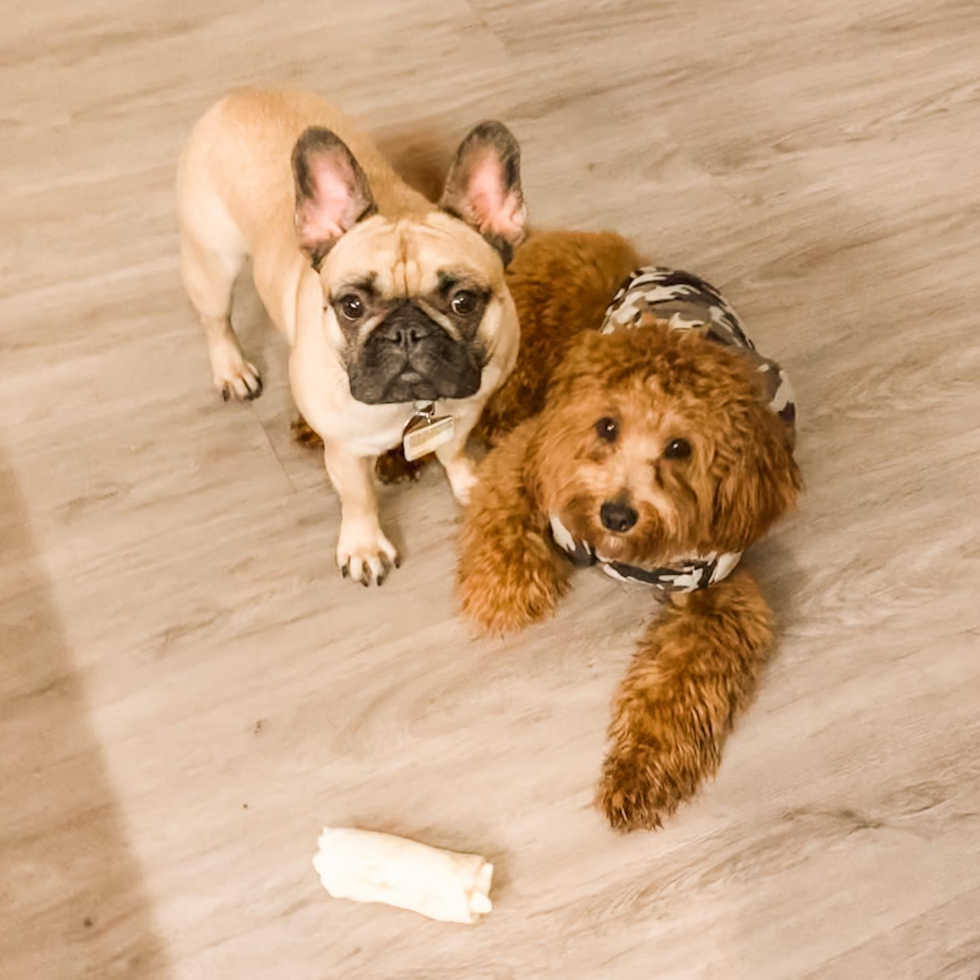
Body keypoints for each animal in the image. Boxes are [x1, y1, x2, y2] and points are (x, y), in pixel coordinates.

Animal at [456, 228, 800, 828]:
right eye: (607, 426)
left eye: (680, 447)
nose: (616, 514)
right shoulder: (535, 454)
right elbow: (501, 514)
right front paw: (503, 592)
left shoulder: (718, 595)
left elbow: (679, 686)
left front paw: (640, 772)